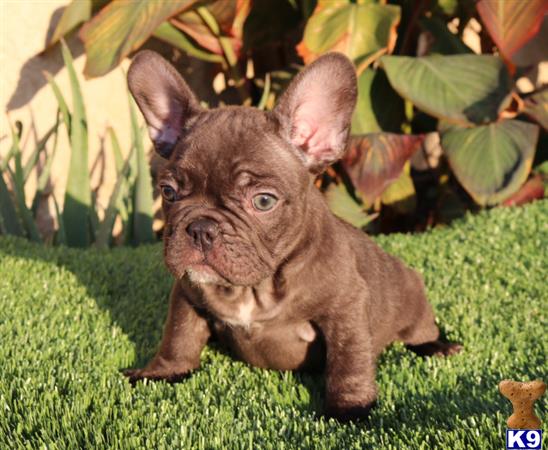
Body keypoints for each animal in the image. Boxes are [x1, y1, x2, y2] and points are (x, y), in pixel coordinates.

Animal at [125, 51, 462, 420]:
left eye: (263, 201)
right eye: (168, 192)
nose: (200, 228)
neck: (255, 288)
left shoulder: (345, 310)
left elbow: (348, 361)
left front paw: (350, 409)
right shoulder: (186, 294)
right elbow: (178, 336)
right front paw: (163, 372)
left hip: (412, 302)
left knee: (419, 330)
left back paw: (436, 345)